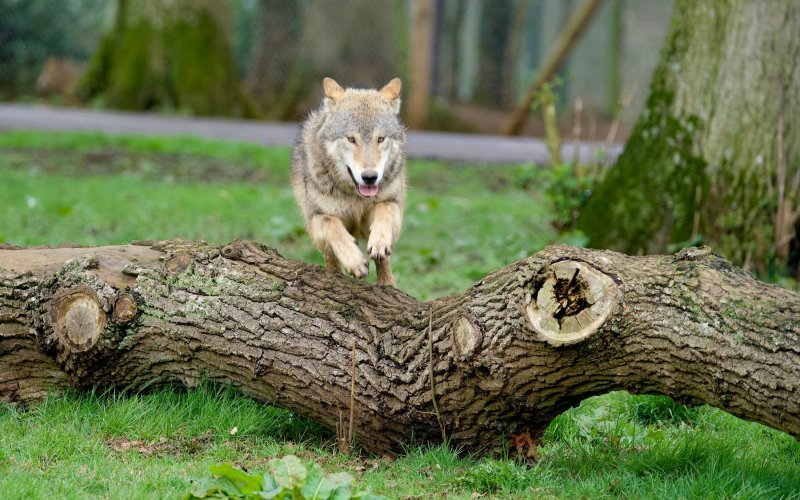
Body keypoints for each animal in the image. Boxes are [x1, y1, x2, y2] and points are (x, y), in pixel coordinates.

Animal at [290, 78, 406, 290]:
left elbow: (383, 211)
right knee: (331, 260)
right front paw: (355, 262)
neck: (356, 197)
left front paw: (379, 242)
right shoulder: (316, 218)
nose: (370, 177)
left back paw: (388, 285)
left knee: (384, 263)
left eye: (380, 138)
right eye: (351, 139)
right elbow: (333, 225)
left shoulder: (393, 203)